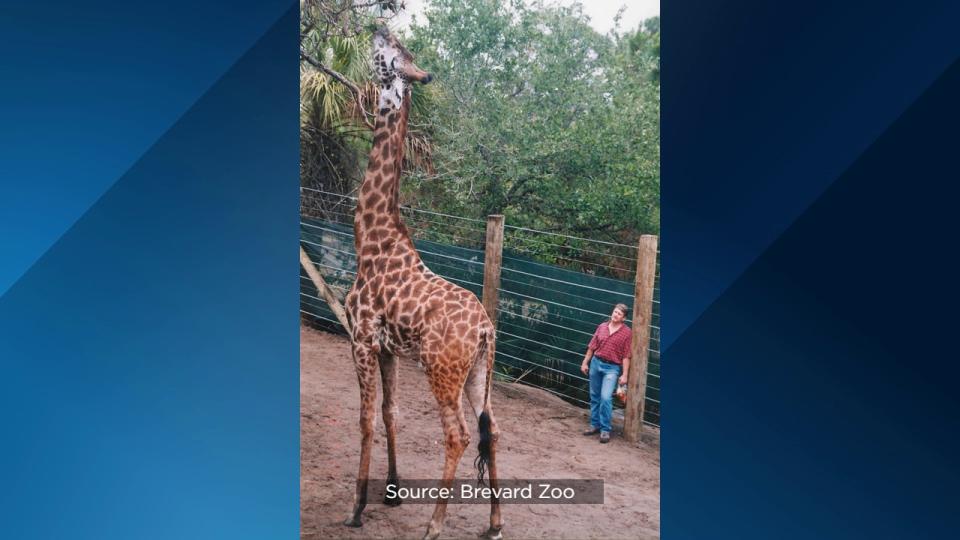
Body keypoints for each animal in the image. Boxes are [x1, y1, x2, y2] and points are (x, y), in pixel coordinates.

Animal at [342, 27, 502, 540]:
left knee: (459, 435)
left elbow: (366, 419)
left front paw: (356, 509)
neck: (372, 238)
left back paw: (434, 524)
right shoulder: (388, 347)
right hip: (478, 374)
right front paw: (391, 491)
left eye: (391, 53)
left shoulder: (361, 339)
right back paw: (494, 522)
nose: (377, 26)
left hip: (441, 371)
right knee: (493, 429)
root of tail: (486, 330)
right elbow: (390, 412)